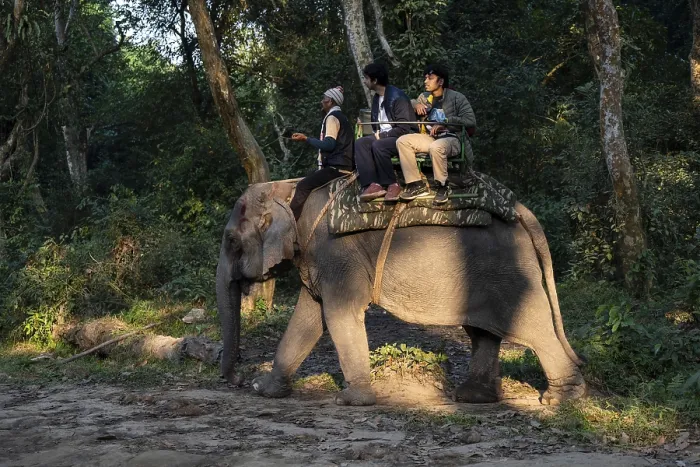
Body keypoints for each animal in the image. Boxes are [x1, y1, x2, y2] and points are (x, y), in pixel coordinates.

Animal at [216, 179, 587, 406]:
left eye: (231, 241)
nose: (238, 379)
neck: (288, 189)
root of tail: (521, 209)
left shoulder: (335, 252)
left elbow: (338, 314)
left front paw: (350, 401)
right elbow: (308, 318)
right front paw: (264, 389)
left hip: (508, 269)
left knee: (531, 328)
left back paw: (559, 399)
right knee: (482, 332)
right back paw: (472, 397)